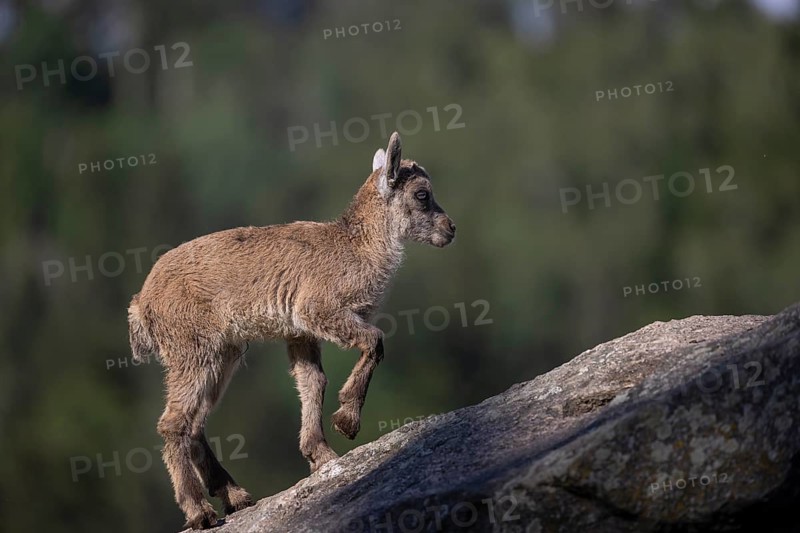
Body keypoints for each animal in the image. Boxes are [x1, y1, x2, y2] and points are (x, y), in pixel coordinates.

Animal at [127, 132, 456, 529]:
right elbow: (374, 341)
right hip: (193, 349)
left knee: (195, 423)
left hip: (222, 353)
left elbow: (313, 380)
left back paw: (236, 497)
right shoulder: (318, 310)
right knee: (173, 423)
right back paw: (200, 511)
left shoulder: (300, 333)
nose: (451, 229)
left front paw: (322, 455)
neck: (356, 248)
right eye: (422, 194)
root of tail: (142, 304)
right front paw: (346, 422)